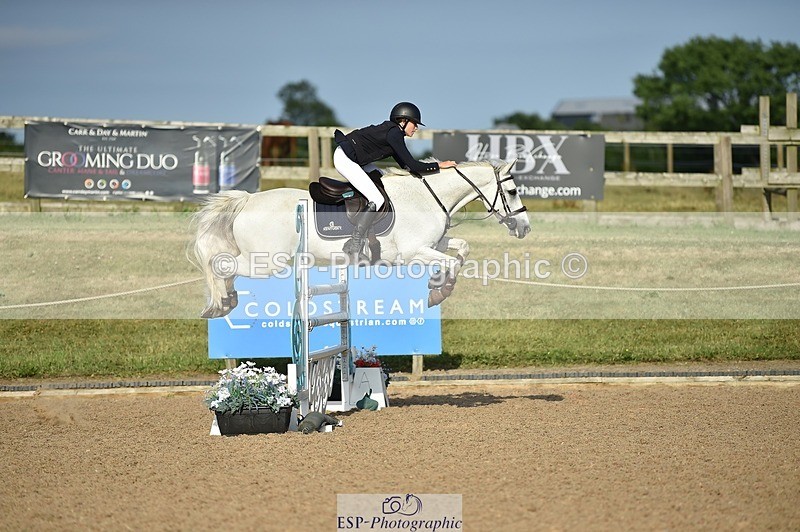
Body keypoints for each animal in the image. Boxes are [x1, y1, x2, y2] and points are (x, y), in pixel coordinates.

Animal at [189, 160, 531, 318]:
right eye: (513, 191)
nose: (524, 228)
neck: (428, 196)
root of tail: (247, 200)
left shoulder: (431, 245)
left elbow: (461, 250)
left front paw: (438, 286)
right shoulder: (414, 252)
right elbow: (452, 264)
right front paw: (438, 292)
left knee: (225, 266)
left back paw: (226, 301)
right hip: (267, 262)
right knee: (221, 264)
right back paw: (221, 302)